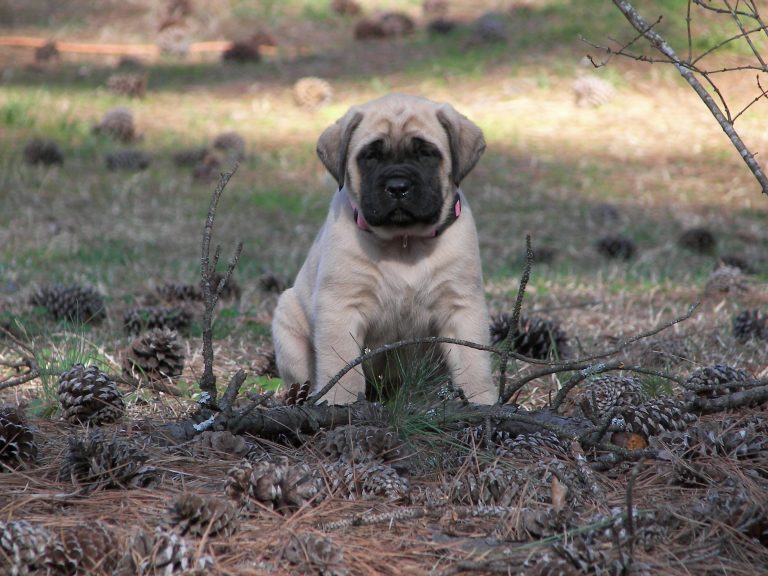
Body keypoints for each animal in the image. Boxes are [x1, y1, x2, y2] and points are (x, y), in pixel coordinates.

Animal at [272, 93, 496, 404]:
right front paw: (338, 402)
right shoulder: (340, 306)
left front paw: (481, 402)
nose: (398, 186)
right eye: (370, 157)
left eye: (426, 154)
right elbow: (341, 363)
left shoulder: (462, 306)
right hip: (288, 324)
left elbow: (474, 362)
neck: (404, 242)